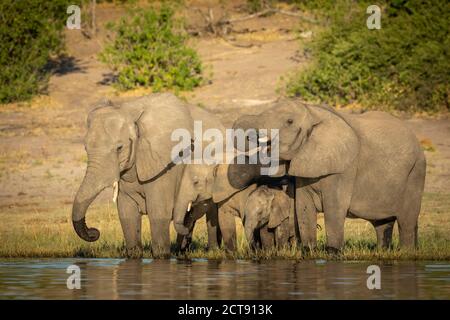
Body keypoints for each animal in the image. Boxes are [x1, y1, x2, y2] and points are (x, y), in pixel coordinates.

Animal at [72, 93, 195, 258]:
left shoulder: (166, 165)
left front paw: (161, 258)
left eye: (119, 148)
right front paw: (134, 256)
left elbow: (158, 211)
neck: (131, 113)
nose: (95, 232)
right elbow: (127, 213)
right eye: (85, 148)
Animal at [234, 100, 428, 252]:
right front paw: (309, 252)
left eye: (289, 121)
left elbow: (334, 209)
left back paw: (407, 252)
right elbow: (303, 208)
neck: (312, 111)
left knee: (406, 221)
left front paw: (333, 253)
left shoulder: (344, 169)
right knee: (383, 223)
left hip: (416, 173)